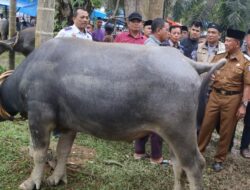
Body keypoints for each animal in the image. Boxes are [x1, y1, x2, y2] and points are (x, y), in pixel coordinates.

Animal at [0, 38, 226, 190]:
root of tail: (189, 62)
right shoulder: (68, 125)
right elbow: (63, 151)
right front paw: (57, 177)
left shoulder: (39, 118)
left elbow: (39, 153)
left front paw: (31, 182)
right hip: (171, 134)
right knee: (178, 164)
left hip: (180, 132)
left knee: (195, 165)